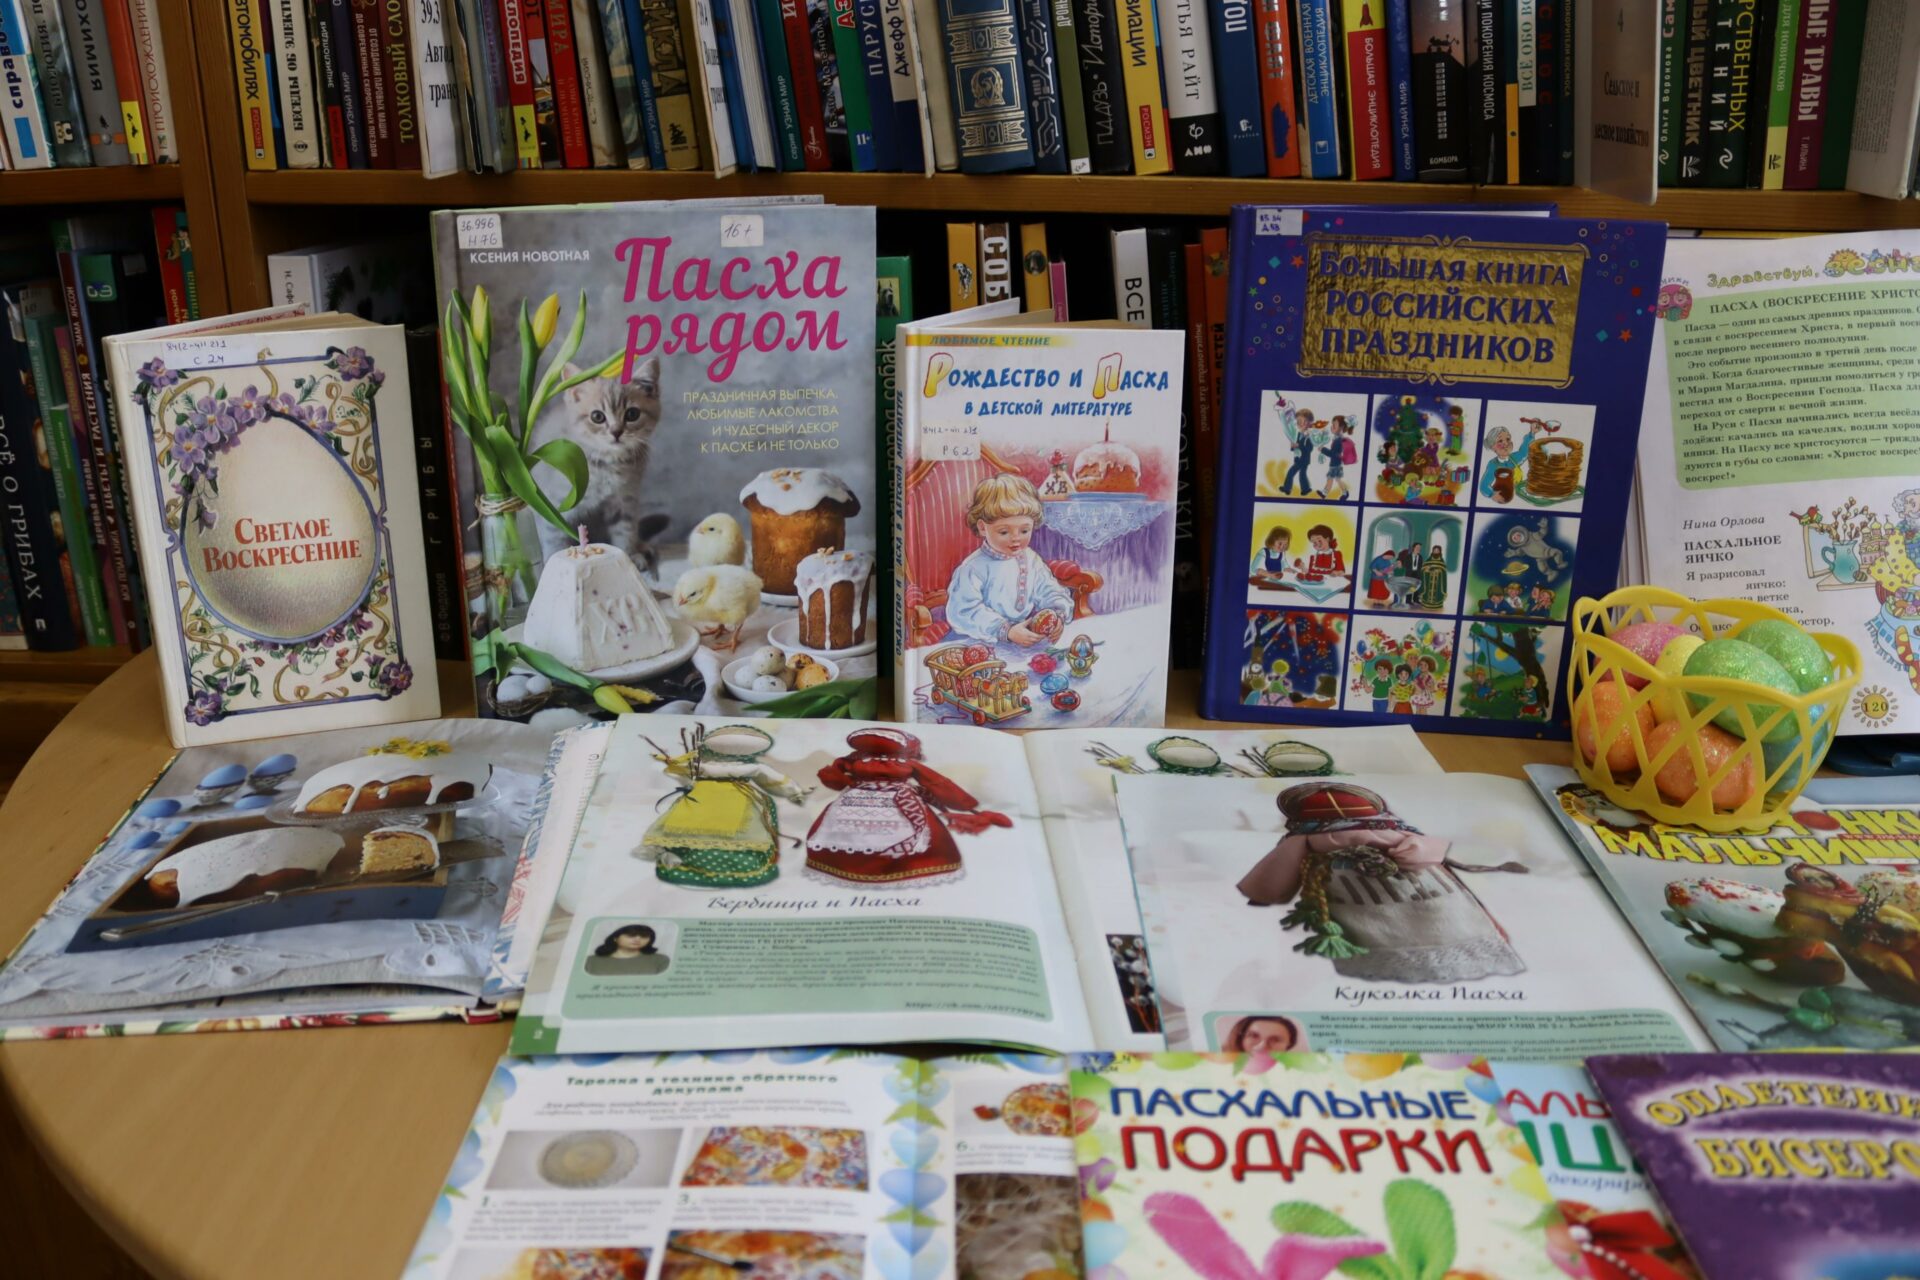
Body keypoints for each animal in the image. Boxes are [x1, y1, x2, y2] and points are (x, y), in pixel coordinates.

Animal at [532, 357, 672, 570]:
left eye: (632, 414)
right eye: (597, 417)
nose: (616, 432)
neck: (606, 464)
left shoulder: (625, 499)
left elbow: (625, 530)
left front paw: (629, 555)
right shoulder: (551, 504)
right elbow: (552, 536)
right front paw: (552, 563)